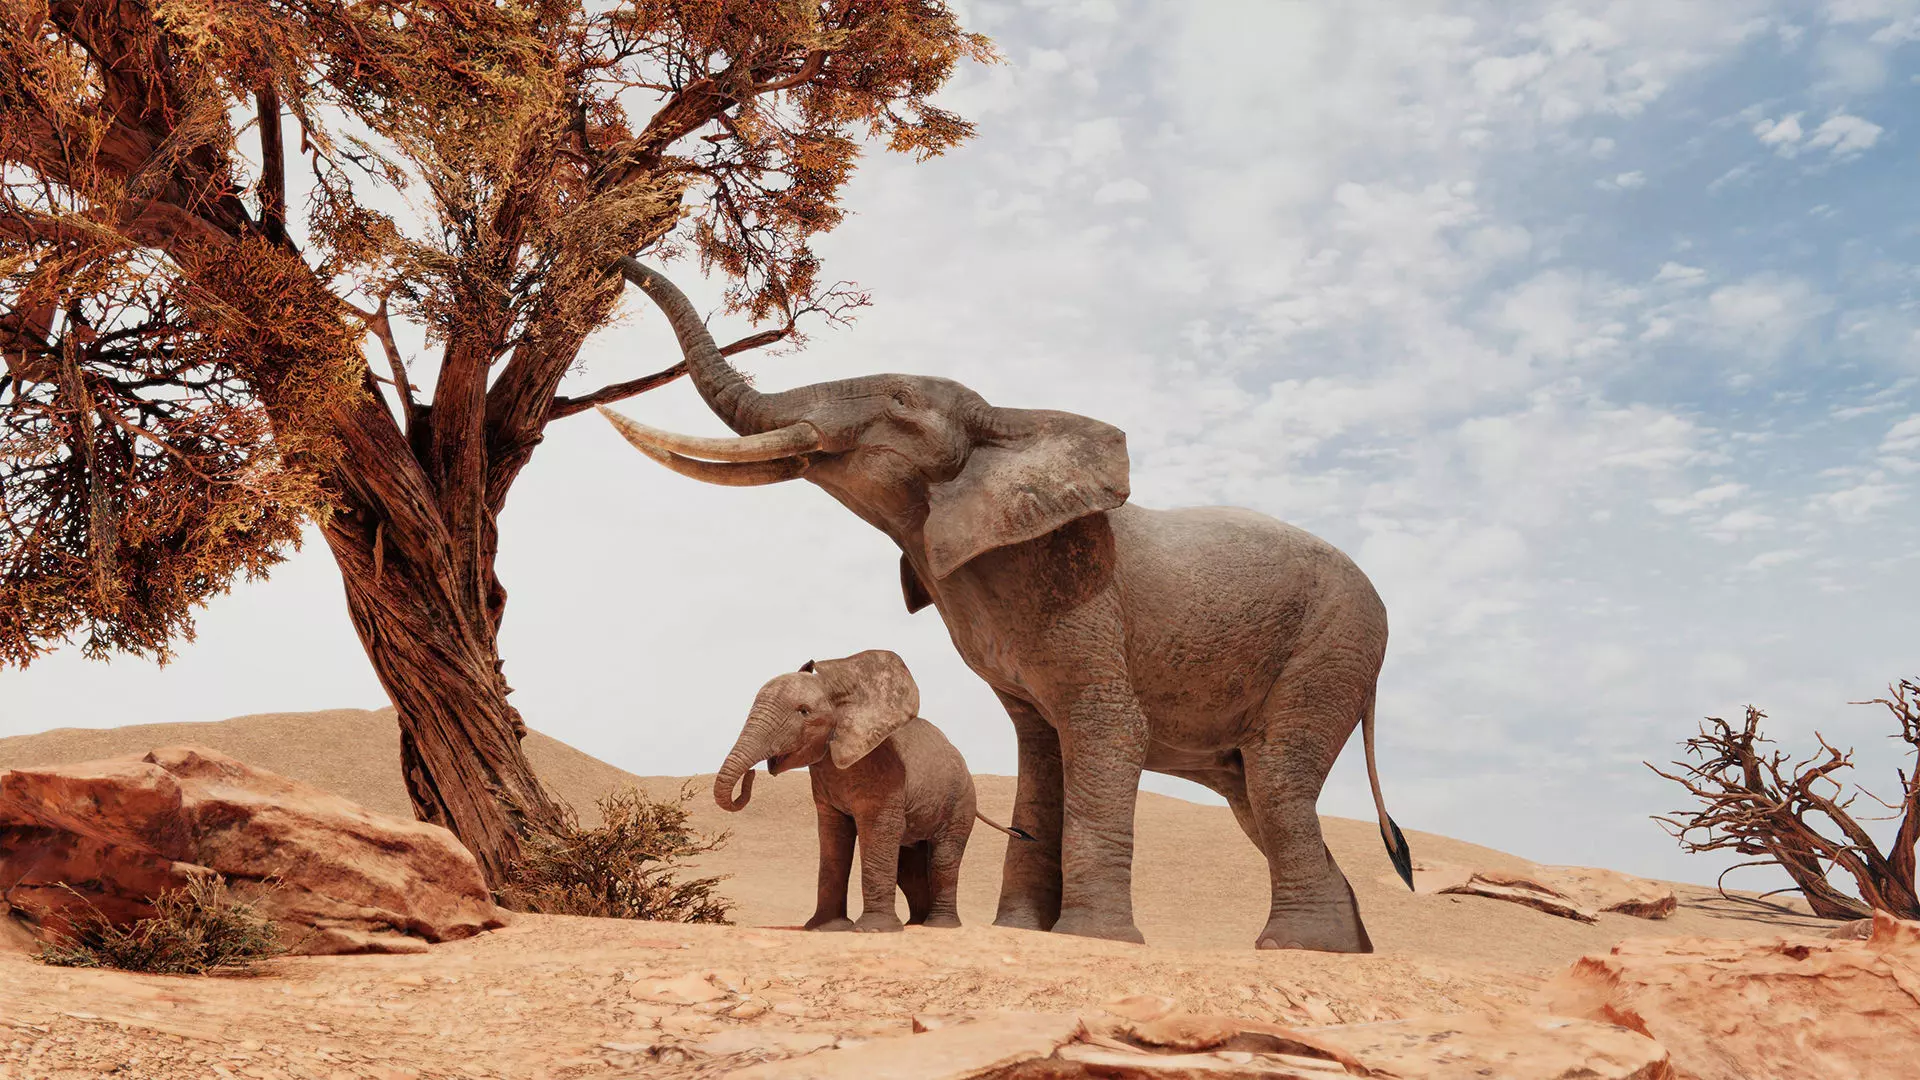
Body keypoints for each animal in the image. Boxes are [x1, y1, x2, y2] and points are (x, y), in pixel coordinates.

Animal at [712, 650, 1028, 932]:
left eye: (804, 712)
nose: (751, 774)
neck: (837, 687)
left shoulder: (884, 770)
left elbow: (876, 832)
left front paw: (873, 930)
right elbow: (833, 837)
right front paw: (825, 928)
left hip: (960, 801)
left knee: (943, 858)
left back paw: (940, 926)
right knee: (908, 867)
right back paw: (915, 924)